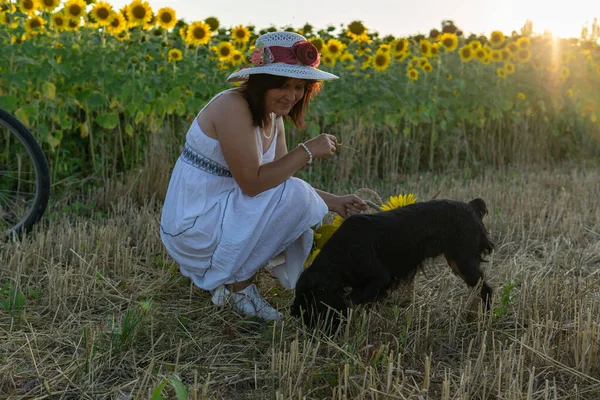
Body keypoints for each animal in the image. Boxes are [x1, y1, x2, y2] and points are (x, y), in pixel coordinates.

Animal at [290, 198, 492, 328]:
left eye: (309, 303)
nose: (294, 315)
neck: (344, 250)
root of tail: (470, 206)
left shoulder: (380, 279)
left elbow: (349, 301)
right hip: (457, 261)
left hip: (463, 261)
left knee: (485, 289)